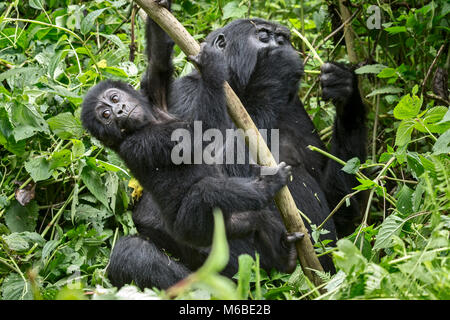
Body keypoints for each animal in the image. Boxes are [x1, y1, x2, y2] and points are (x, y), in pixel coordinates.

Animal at [80, 42, 292, 249]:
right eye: (106, 115)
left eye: (115, 98)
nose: (120, 110)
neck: (147, 123)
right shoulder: (142, 143)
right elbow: (201, 132)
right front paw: (211, 67)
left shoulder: (155, 98)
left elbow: (158, 60)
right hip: (192, 229)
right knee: (205, 192)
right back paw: (267, 186)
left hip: (226, 227)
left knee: (256, 219)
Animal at [108, 0, 366, 290]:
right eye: (263, 36)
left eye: (282, 38)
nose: (281, 45)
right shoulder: (181, 97)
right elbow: (176, 202)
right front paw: (276, 69)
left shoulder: (295, 109)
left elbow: (340, 205)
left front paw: (346, 91)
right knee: (131, 254)